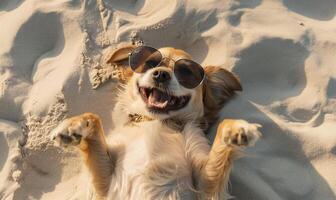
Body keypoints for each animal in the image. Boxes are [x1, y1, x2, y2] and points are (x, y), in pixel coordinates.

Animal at [50, 45, 262, 200]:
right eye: (150, 63)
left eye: (186, 73)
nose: (161, 74)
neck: (156, 122)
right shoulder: (103, 184)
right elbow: (93, 117)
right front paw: (74, 126)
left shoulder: (204, 186)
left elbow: (224, 127)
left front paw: (236, 129)